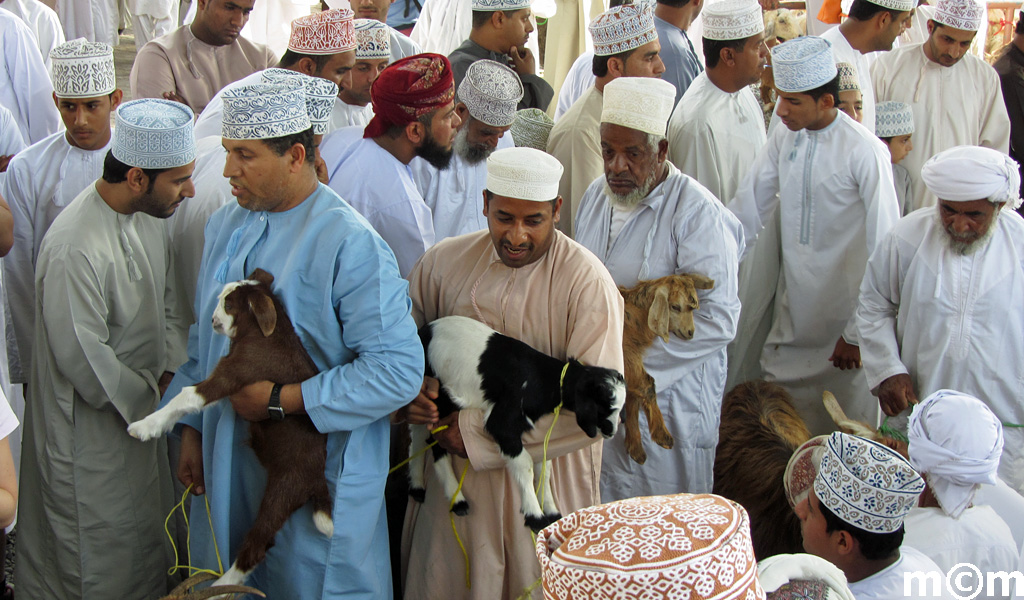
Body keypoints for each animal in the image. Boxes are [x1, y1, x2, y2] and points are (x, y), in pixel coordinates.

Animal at [125, 270, 329, 585]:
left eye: (229, 305)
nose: (211, 320)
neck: (264, 332)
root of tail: (318, 478)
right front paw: (160, 425)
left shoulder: (235, 373)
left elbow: (187, 395)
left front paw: (145, 426)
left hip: (285, 487)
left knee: (259, 543)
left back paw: (222, 586)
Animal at [407, 315, 622, 528]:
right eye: (604, 407)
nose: (612, 431)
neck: (543, 380)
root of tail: (423, 331)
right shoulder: (503, 421)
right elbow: (525, 463)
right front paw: (535, 515)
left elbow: (544, 465)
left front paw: (550, 509)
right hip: (440, 394)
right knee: (434, 442)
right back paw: (457, 500)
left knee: (419, 434)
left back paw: (417, 486)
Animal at [618, 270, 716, 462]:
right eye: (675, 307)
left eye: (693, 308)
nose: (690, 333)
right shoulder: (628, 356)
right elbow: (647, 384)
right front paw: (662, 436)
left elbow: (633, 396)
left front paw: (636, 447)